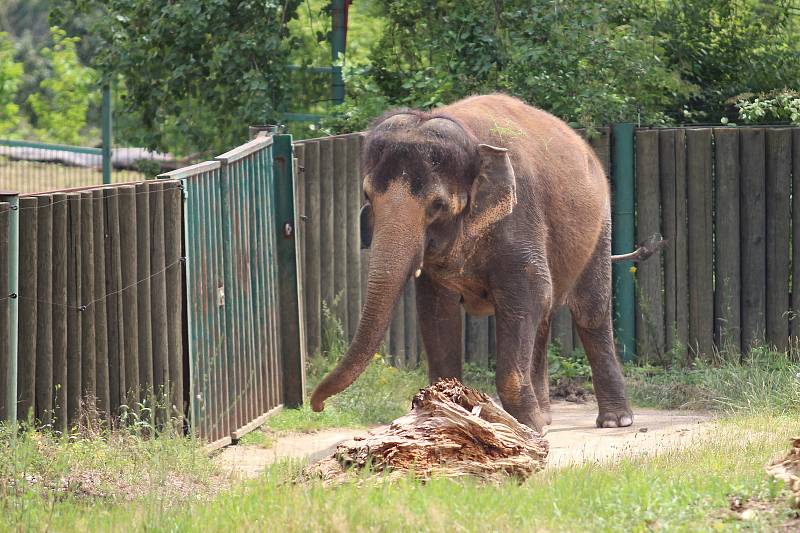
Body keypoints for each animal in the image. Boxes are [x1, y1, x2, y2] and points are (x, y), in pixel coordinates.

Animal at [310, 93, 636, 430]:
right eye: (367, 196)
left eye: (437, 205)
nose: (317, 405)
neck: (469, 137)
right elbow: (437, 310)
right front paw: (445, 415)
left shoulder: (520, 217)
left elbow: (527, 294)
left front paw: (527, 429)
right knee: (545, 316)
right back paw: (546, 417)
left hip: (600, 225)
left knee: (589, 312)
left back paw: (615, 421)